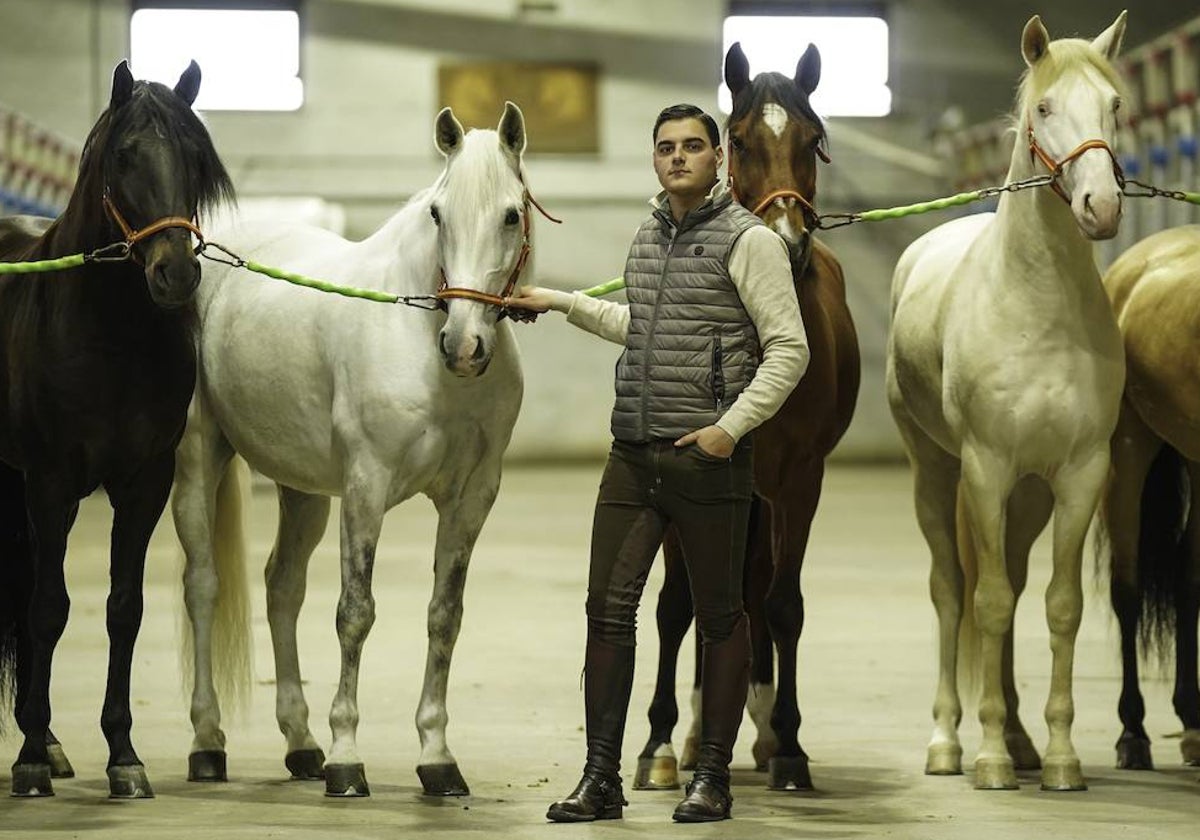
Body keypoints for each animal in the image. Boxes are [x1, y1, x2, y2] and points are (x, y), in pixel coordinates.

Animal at [0, 60, 232, 801]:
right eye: (125, 157)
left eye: (194, 159)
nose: (175, 272)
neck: (111, 337)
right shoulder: (50, 483)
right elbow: (49, 607)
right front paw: (28, 763)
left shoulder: (143, 482)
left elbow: (122, 608)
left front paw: (122, 757)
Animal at [633, 42, 859, 792]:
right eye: (740, 140)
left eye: (814, 141)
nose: (787, 242)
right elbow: (677, 606)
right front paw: (658, 742)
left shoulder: (800, 483)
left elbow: (783, 604)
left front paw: (788, 744)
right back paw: (700, 728)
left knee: (753, 592)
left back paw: (757, 728)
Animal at [888, 9, 1128, 792]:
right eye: (1044, 108)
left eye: (1114, 105)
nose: (1100, 206)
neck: (1038, 308)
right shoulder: (986, 469)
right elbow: (986, 603)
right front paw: (988, 756)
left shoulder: (1081, 476)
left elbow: (1059, 607)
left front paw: (1058, 758)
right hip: (938, 477)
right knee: (952, 590)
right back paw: (948, 743)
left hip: (1027, 497)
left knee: (1016, 585)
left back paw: (1022, 740)